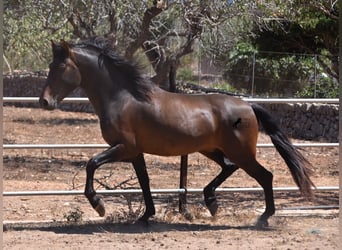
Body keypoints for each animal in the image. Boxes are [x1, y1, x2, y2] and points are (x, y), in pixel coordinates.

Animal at [38, 36, 314, 227]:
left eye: (60, 67)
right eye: (50, 65)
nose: (44, 102)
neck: (123, 98)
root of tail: (248, 106)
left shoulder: (124, 148)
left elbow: (92, 163)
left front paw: (99, 206)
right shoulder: (135, 152)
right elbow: (144, 181)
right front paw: (146, 216)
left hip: (241, 152)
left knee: (265, 176)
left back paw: (263, 217)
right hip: (211, 149)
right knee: (229, 167)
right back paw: (212, 202)